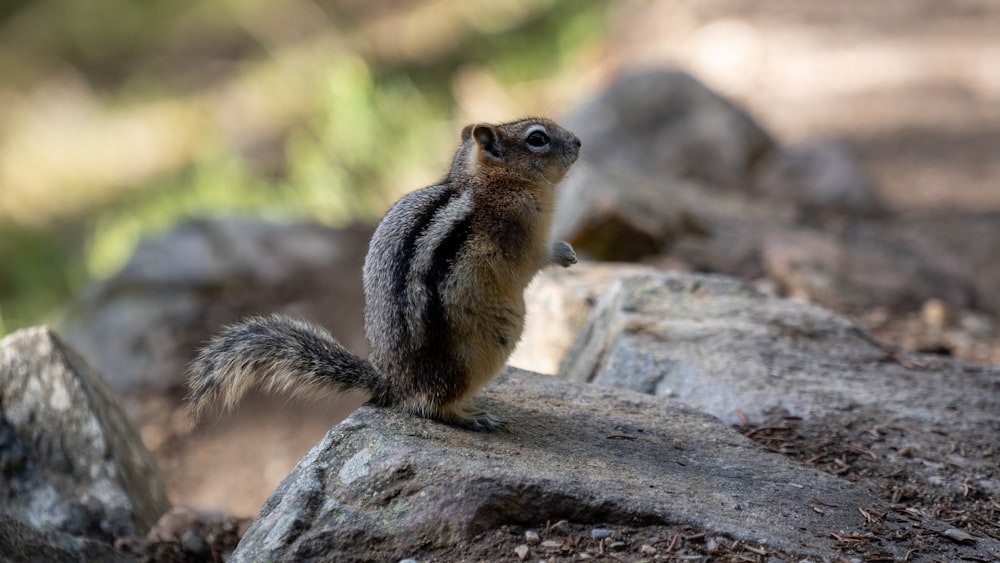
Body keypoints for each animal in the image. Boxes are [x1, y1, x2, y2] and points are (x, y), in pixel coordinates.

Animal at [188, 118, 584, 432]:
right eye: (537, 138)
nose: (579, 142)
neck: (490, 182)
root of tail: (393, 385)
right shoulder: (521, 232)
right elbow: (535, 259)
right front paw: (565, 253)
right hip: (478, 354)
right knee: (432, 407)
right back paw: (474, 417)